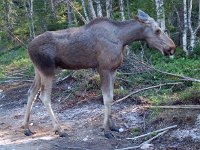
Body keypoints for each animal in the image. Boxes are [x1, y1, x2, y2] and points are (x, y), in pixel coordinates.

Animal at [21, 9, 175, 138]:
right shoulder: (104, 68)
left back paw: (26, 128)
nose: (172, 47)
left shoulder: (113, 69)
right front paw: (106, 130)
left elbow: (111, 96)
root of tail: (28, 47)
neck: (123, 39)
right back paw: (59, 129)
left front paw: (113, 126)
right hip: (48, 70)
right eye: (157, 30)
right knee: (44, 97)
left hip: (38, 70)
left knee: (31, 92)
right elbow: (106, 98)